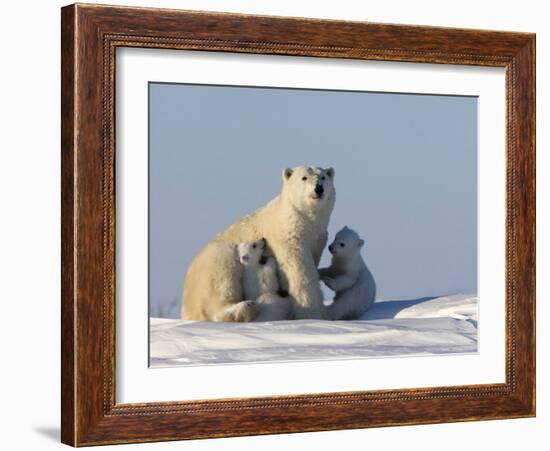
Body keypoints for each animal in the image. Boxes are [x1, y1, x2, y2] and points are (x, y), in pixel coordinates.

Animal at [182, 166, 336, 322]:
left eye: (323, 177)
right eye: (304, 177)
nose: (319, 188)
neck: (302, 219)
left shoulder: (317, 239)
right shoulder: (289, 237)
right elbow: (299, 271)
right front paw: (315, 314)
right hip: (214, 263)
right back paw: (244, 307)